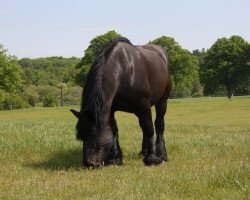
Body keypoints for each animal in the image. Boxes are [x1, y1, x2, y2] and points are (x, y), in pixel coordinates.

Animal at [70, 37, 172, 167]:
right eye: (81, 136)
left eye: (93, 133)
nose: (88, 164)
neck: (124, 71)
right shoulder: (110, 109)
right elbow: (114, 130)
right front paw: (115, 159)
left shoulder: (144, 105)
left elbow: (149, 128)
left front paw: (152, 159)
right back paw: (144, 151)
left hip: (162, 101)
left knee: (158, 125)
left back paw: (162, 154)